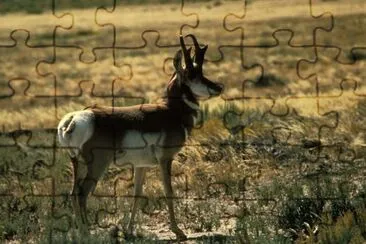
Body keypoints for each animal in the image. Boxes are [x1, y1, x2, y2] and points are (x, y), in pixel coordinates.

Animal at [57, 34, 223, 240]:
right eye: (193, 74)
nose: (219, 87)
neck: (171, 110)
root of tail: (73, 119)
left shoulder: (141, 165)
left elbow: (137, 194)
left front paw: (129, 231)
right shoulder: (165, 159)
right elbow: (168, 191)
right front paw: (179, 232)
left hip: (77, 164)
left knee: (73, 193)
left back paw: (82, 231)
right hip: (97, 165)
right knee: (82, 193)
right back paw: (87, 233)